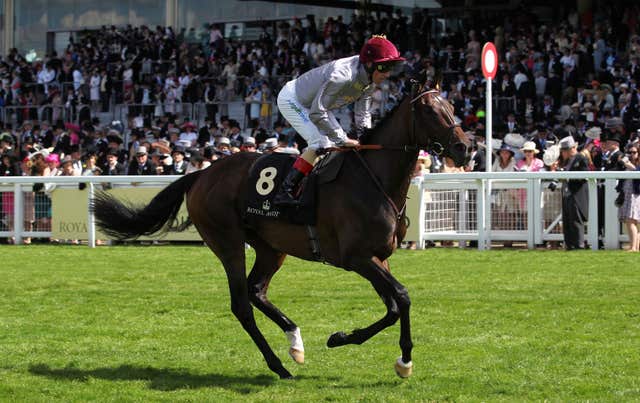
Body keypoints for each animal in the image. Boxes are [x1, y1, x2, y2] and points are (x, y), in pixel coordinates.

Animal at [91, 84, 470, 378]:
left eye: (452, 107)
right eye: (431, 111)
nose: (465, 148)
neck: (373, 180)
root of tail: (201, 174)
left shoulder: (378, 256)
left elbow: (392, 307)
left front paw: (343, 338)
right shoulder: (356, 258)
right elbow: (403, 296)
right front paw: (403, 360)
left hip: (271, 247)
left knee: (257, 291)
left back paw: (295, 342)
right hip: (227, 241)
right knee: (241, 304)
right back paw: (278, 365)